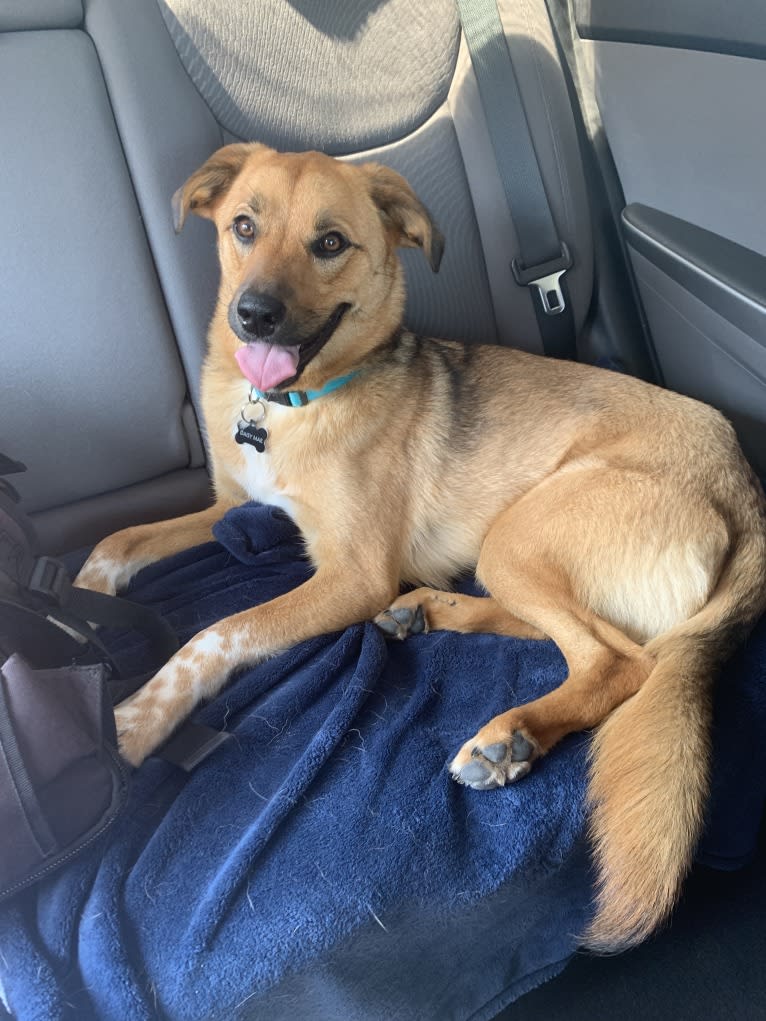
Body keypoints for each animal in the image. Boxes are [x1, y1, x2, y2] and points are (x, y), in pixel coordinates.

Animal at [76, 143, 766, 947]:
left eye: (330, 243)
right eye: (244, 226)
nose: (253, 316)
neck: (292, 407)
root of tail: (745, 485)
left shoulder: (352, 576)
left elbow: (218, 633)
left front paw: (132, 721)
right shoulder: (230, 507)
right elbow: (117, 539)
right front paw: (78, 607)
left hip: (517, 533)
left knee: (619, 660)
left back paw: (512, 734)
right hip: (516, 549)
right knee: (588, 635)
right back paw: (430, 612)